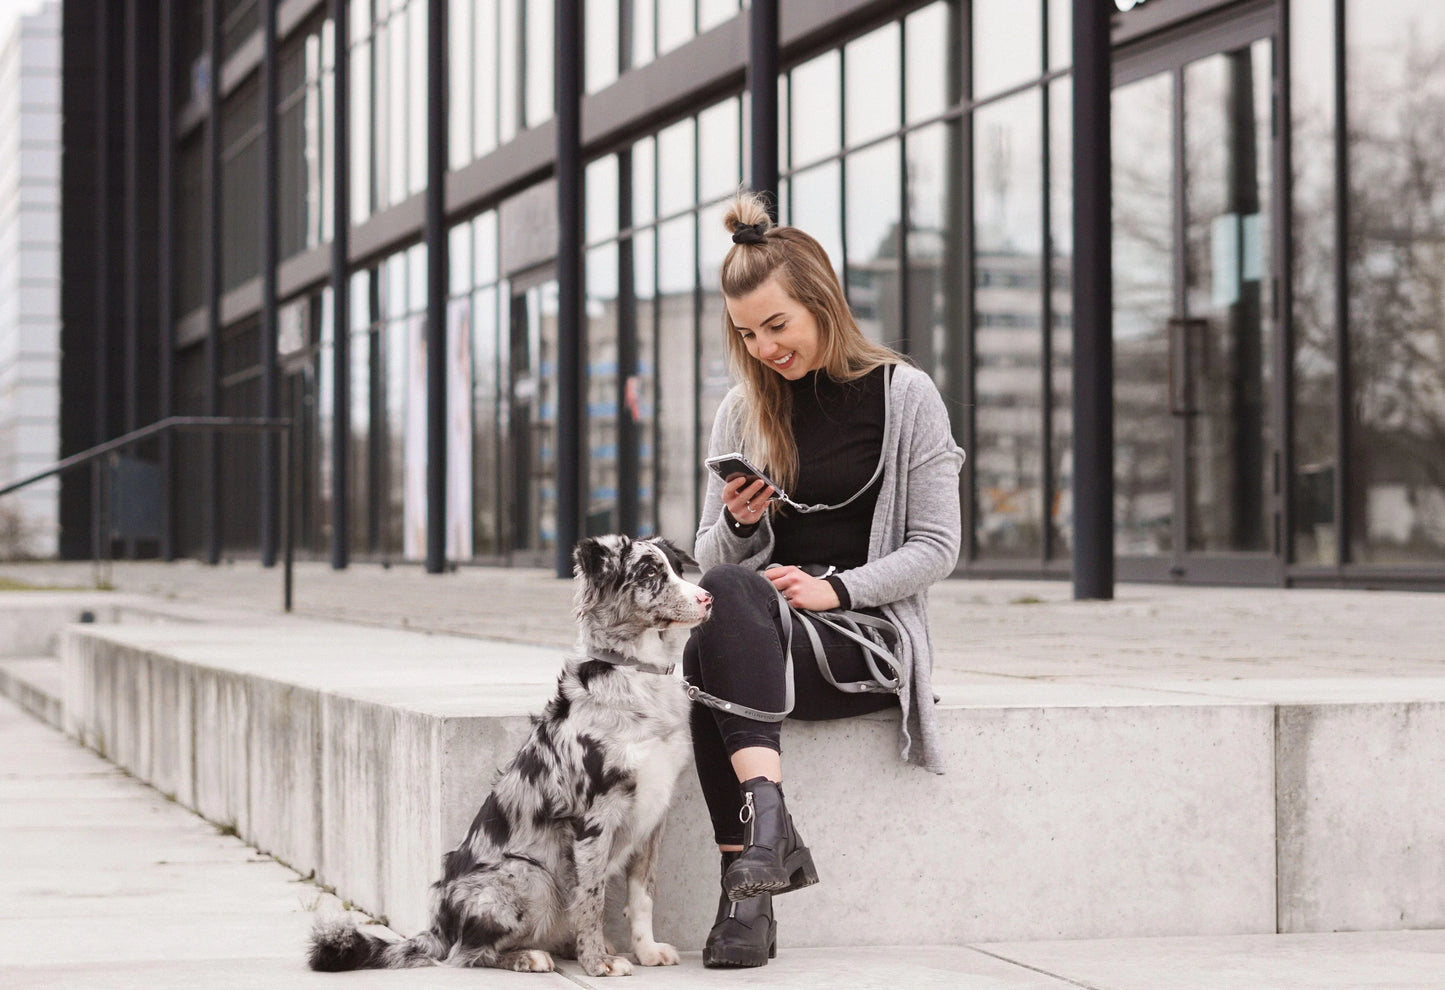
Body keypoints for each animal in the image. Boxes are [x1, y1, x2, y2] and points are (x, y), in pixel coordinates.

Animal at [310, 531, 710, 971]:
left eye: (677, 568)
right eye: (649, 573)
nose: (707, 598)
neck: (637, 674)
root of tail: (437, 926)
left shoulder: (654, 812)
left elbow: (643, 893)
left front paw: (645, 950)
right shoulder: (594, 816)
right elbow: (592, 899)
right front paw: (597, 964)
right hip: (530, 874)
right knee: (466, 954)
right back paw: (530, 957)